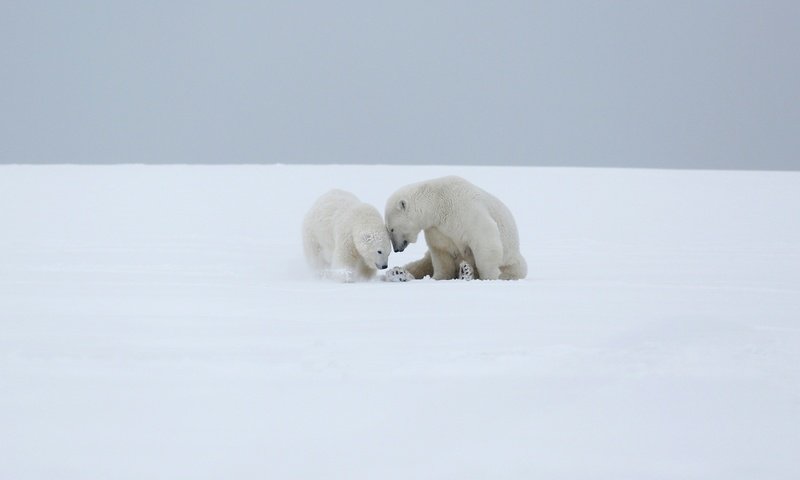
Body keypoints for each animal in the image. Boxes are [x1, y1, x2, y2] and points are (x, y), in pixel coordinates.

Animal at [386, 176, 528, 282]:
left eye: (391, 229)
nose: (396, 249)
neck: (437, 203)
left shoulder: (464, 209)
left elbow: (484, 238)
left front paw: (489, 277)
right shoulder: (437, 229)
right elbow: (441, 252)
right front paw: (438, 277)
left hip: (512, 260)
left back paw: (466, 271)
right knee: (421, 264)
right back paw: (397, 273)